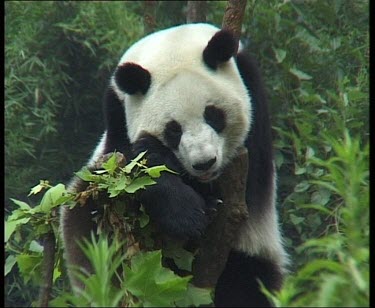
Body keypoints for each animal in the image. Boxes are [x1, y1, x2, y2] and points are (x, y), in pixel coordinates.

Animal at [61, 23, 288, 306]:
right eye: (173, 130)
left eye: (213, 115)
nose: (204, 162)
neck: (172, 44)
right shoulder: (116, 117)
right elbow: (130, 172)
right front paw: (188, 214)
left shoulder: (255, 114)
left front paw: (204, 206)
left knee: (247, 284)